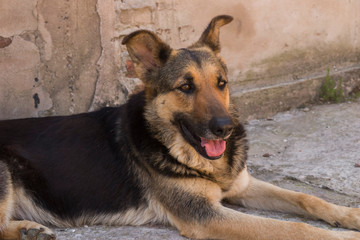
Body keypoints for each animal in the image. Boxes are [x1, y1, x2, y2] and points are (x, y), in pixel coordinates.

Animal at [0, 15, 360, 240]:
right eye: (186, 87)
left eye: (221, 83)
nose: (226, 128)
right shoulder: (204, 215)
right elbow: (294, 228)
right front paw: (342, 236)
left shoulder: (241, 187)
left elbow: (308, 199)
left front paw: (351, 215)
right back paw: (27, 230)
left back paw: (28, 230)